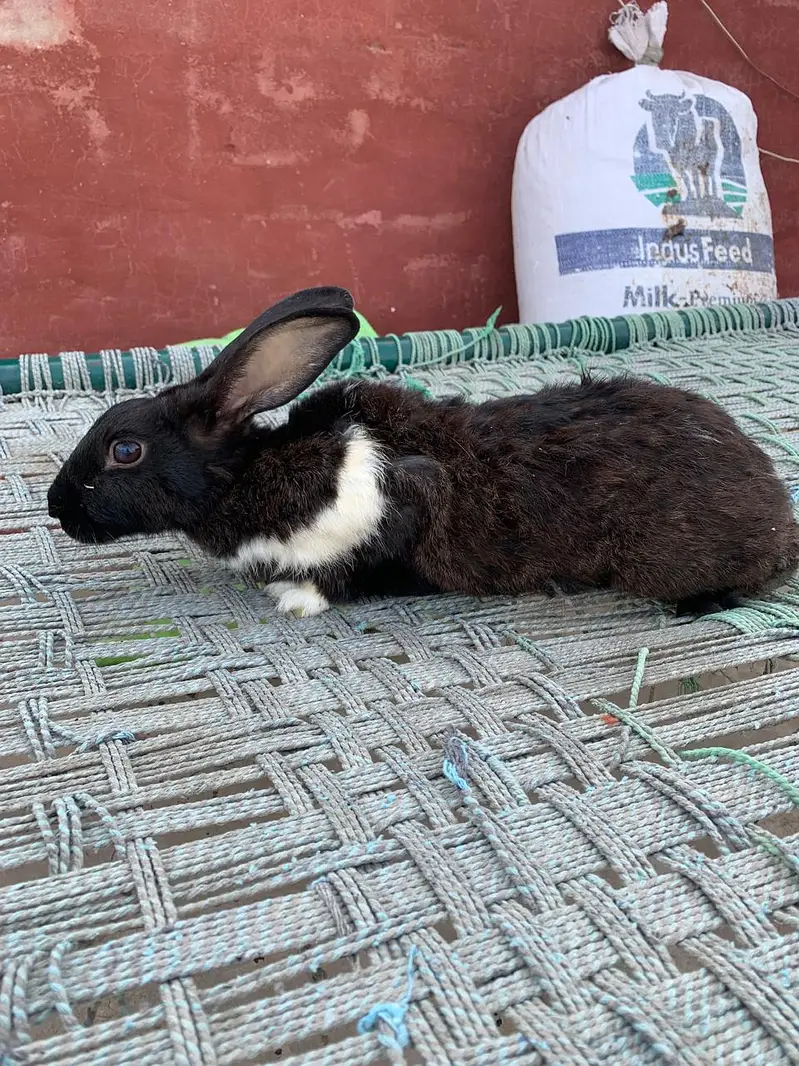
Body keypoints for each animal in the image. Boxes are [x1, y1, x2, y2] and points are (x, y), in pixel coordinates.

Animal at [48, 285, 799, 618]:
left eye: (123, 450)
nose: (56, 509)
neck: (247, 477)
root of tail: (779, 517)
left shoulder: (395, 503)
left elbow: (350, 570)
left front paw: (294, 597)